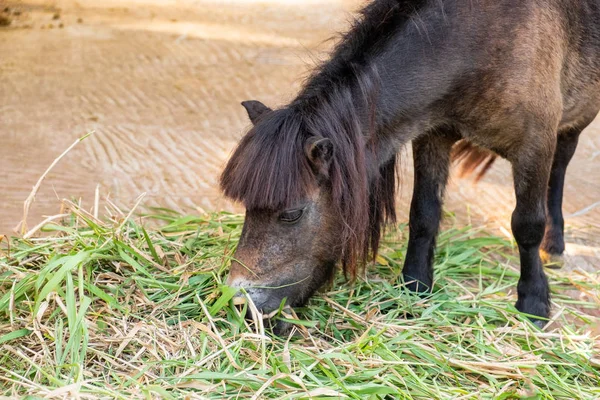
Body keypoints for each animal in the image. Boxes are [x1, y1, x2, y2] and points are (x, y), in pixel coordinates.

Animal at [219, 0, 600, 328]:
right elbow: (424, 214)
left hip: (574, 123)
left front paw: (533, 302)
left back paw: (555, 245)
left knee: (560, 169)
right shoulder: (433, 135)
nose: (240, 302)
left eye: (292, 214)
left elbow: (527, 225)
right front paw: (414, 285)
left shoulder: (534, 145)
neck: (478, 39)